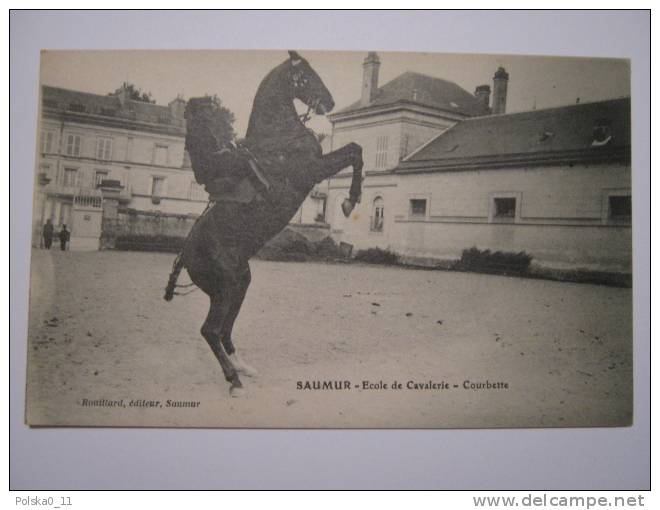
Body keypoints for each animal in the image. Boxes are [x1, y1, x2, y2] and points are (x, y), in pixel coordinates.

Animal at [164, 51, 360, 394]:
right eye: (306, 74)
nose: (330, 102)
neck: (278, 137)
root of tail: (185, 255)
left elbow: (355, 150)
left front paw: (351, 199)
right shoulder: (311, 170)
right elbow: (353, 152)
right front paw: (351, 199)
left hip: (238, 283)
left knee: (224, 328)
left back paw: (243, 366)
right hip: (226, 286)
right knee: (210, 330)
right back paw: (234, 378)